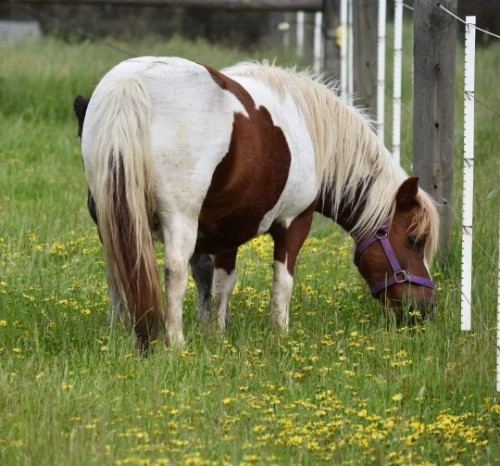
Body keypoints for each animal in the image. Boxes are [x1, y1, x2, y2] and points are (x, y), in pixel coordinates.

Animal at [72, 56, 440, 348]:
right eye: (413, 240)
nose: (423, 310)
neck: (310, 131)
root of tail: (132, 82)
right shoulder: (294, 222)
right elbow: (281, 282)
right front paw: (280, 333)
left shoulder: (224, 228)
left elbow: (219, 281)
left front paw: (215, 332)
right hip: (178, 217)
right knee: (174, 271)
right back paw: (175, 341)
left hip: (114, 216)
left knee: (119, 266)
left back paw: (119, 330)